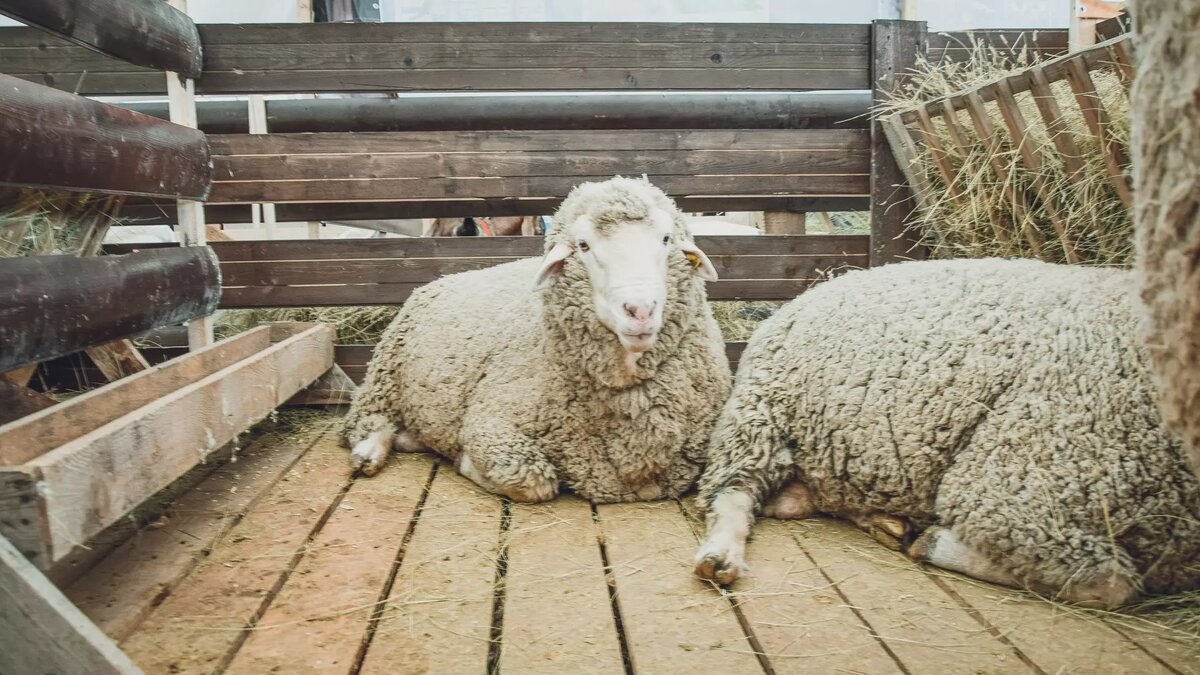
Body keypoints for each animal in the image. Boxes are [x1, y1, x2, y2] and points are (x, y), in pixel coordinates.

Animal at [343, 176, 724, 502]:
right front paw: (465, 461)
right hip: (386, 374)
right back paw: (369, 452)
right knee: (368, 420)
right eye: (584, 245)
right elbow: (532, 480)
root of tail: (445, 277)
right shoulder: (491, 423)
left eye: (666, 239)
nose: (640, 310)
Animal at [696, 255, 1200, 605]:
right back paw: (721, 556)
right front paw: (937, 544)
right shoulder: (1011, 491)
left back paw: (888, 523)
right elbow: (1109, 583)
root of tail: (824, 284)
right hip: (761, 415)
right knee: (732, 495)